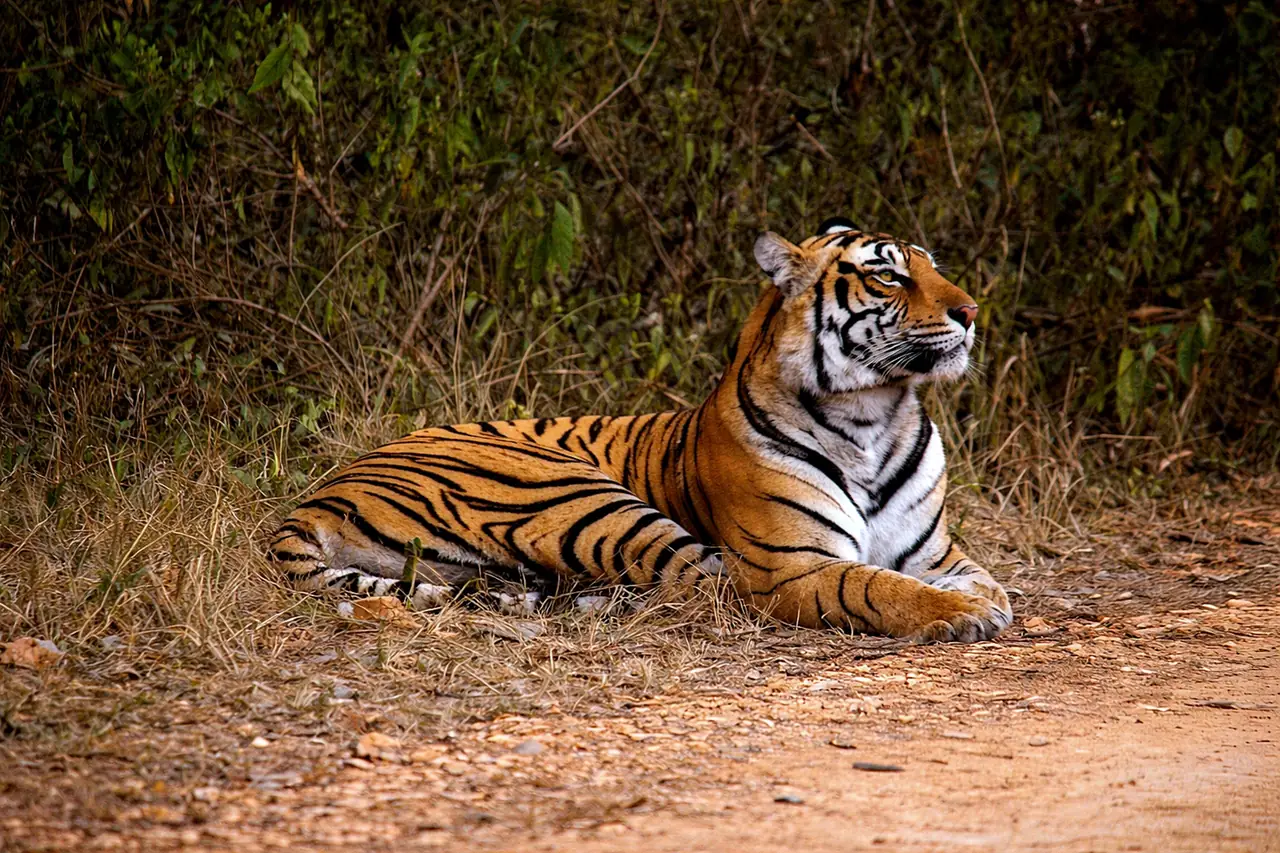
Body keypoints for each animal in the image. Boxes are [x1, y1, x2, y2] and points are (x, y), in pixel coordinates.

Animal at [269, 217, 1013, 642]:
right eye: (889, 275)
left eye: (935, 267)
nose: (972, 310)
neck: (874, 415)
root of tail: (319, 494)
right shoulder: (790, 564)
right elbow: (874, 584)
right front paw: (957, 616)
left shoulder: (936, 554)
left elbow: (982, 579)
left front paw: (984, 602)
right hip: (579, 494)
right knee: (700, 584)